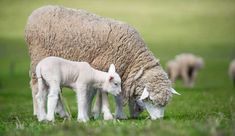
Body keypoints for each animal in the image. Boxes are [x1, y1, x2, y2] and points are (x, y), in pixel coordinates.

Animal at [25, 5, 178, 120]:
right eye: (151, 100)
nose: (159, 120)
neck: (132, 58)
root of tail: (35, 13)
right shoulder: (101, 67)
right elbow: (98, 92)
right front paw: (98, 113)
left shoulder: (120, 71)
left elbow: (117, 95)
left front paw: (117, 114)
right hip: (38, 56)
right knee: (36, 87)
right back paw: (39, 113)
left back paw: (61, 113)